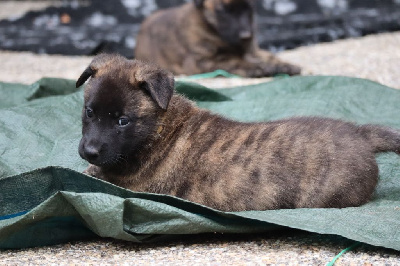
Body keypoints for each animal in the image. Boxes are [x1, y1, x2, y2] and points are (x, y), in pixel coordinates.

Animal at [76, 54, 400, 212]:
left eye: (123, 121)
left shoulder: (130, 182)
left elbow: (96, 174)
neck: (162, 128)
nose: (89, 150)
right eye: (89, 112)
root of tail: (360, 133)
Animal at [134, 0, 300, 78]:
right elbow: (233, 61)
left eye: (250, 7)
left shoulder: (252, 50)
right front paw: (256, 68)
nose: (246, 36)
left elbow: (269, 56)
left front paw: (284, 65)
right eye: (223, 11)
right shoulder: (200, 61)